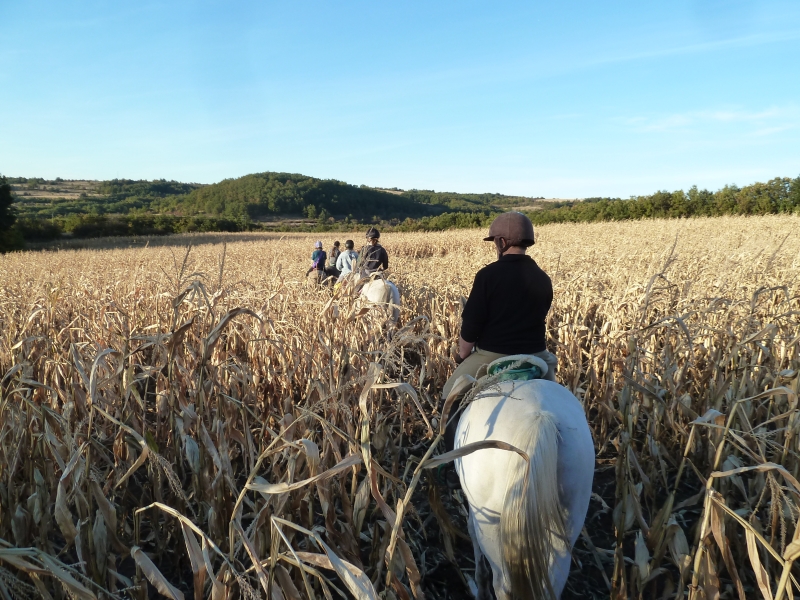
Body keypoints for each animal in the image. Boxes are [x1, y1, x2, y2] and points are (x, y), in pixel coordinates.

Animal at [450, 356, 592, 600]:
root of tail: (539, 418)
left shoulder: (477, 513)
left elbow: (473, 537)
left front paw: (480, 588)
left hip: (493, 524)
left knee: (503, 584)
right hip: (570, 516)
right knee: (556, 576)